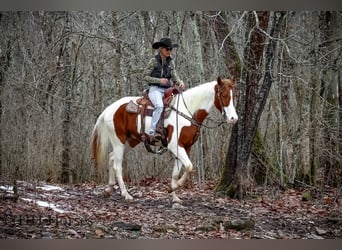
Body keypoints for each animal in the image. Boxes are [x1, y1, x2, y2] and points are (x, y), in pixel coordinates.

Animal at [90, 76, 238, 203]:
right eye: (224, 96)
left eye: (234, 96)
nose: (233, 118)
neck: (188, 111)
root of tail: (109, 109)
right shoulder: (175, 146)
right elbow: (189, 167)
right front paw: (175, 187)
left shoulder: (185, 147)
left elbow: (176, 173)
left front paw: (174, 195)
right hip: (118, 141)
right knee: (117, 166)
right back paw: (126, 194)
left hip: (130, 142)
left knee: (111, 157)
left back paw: (108, 189)